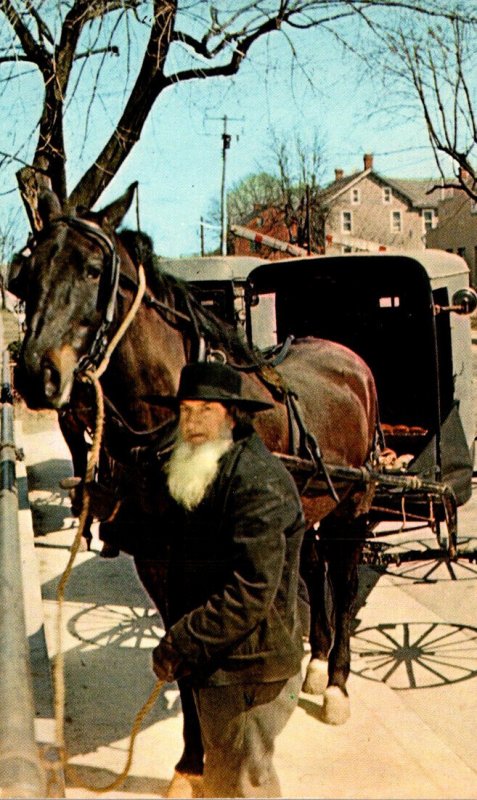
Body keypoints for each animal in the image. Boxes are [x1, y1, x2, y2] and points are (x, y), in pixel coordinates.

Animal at [13, 184, 380, 792]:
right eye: (27, 274)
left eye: (93, 269)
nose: (34, 375)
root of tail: (347, 358)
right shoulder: (160, 566)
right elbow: (181, 657)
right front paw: (190, 763)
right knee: (312, 569)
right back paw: (315, 664)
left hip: (351, 506)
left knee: (345, 581)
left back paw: (336, 684)